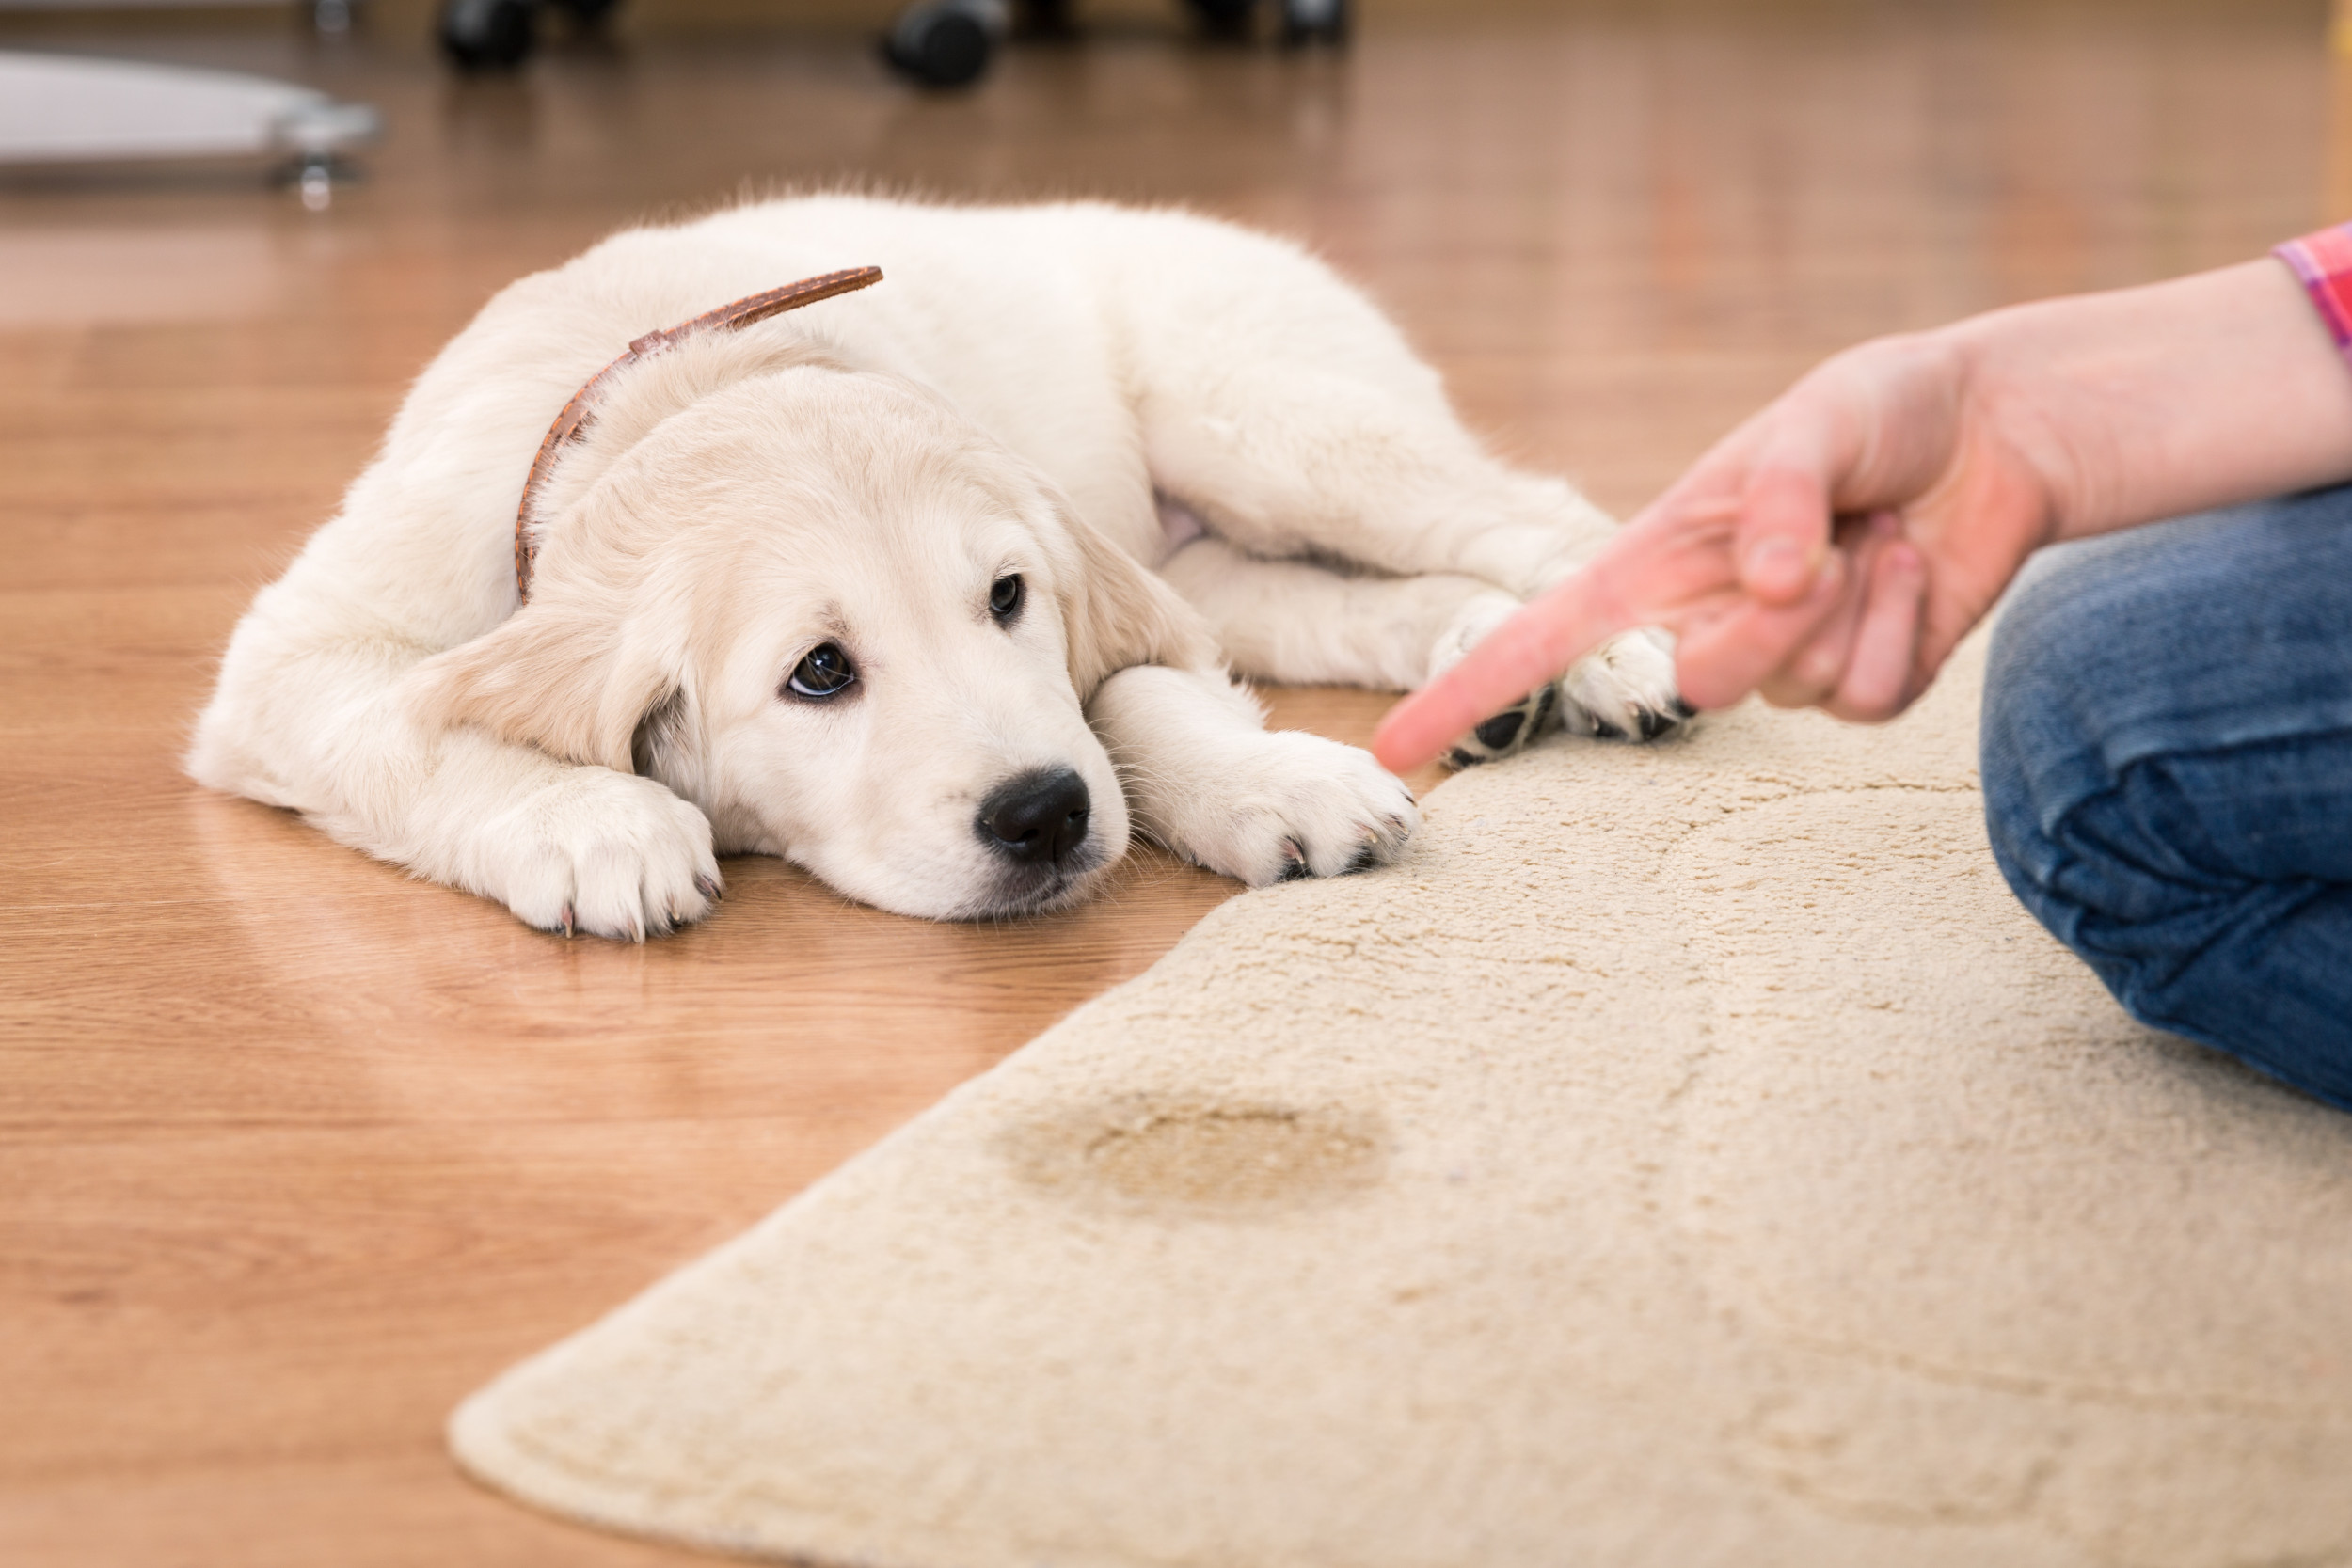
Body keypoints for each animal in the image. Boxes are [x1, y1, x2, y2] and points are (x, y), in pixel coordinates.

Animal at [193, 192, 1684, 930]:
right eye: (819, 672)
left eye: (1007, 598)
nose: (1045, 817)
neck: (674, 381)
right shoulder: (293, 659)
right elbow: (409, 725)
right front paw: (592, 822)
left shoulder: (1104, 590)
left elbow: (1136, 696)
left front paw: (1269, 781)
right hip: (1223, 544)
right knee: (1353, 598)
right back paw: (1488, 668)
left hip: (1268, 418)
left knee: (1533, 513)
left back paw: (1613, 654)